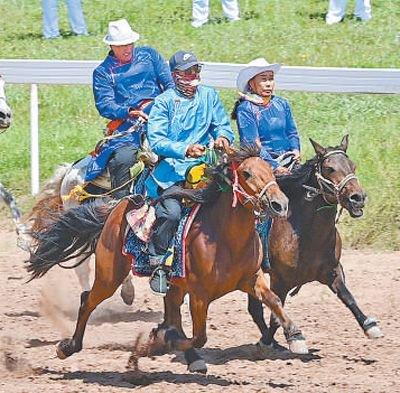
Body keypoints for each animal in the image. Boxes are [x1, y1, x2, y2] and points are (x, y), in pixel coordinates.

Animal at [27, 145, 310, 372]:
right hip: (110, 274)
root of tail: (117, 206)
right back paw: (68, 346)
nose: (280, 204)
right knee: (88, 300)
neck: (225, 239)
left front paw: (296, 337)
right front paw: (163, 341)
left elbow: (274, 300)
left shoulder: (252, 280)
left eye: (271, 171)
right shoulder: (199, 296)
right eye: (247, 173)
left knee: (170, 313)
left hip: (172, 285)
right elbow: (200, 336)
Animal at [248, 136, 382, 350]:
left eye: (353, 165)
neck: (305, 235)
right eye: (329, 168)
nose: (358, 198)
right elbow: (276, 313)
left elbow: (348, 297)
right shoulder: (280, 280)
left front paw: (370, 326)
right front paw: (288, 338)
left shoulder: (332, 271)